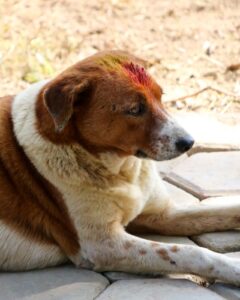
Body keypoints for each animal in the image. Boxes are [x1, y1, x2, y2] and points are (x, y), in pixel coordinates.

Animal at [0, 50, 240, 284]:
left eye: (161, 97)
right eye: (135, 109)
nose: (189, 142)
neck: (122, 170)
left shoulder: (161, 214)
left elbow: (225, 210)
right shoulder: (104, 245)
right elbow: (191, 252)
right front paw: (235, 269)